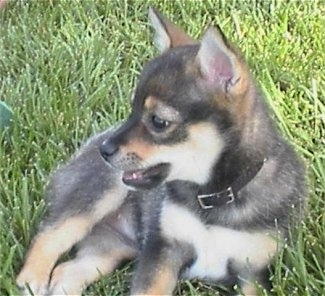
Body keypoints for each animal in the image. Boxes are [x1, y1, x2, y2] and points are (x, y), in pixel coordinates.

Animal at [16, 7, 306, 296]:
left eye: (158, 121)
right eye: (132, 110)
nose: (104, 150)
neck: (213, 196)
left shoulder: (253, 272)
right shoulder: (163, 250)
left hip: (109, 249)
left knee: (67, 271)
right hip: (98, 194)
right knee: (50, 234)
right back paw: (32, 278)